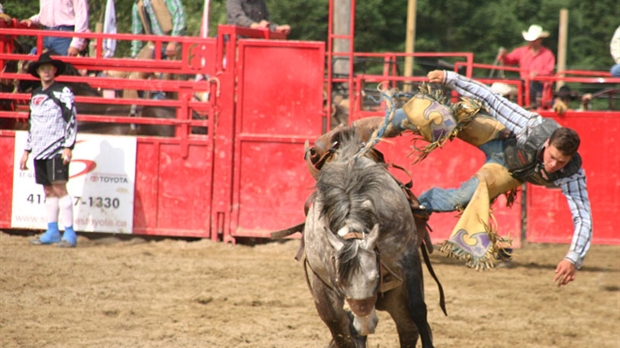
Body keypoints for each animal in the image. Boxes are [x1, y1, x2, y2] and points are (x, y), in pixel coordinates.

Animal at [302, 126, 438, 346]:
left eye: (375, 277)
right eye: (341, 283)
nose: (366, 325)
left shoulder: (409, 260)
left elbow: (419, 310)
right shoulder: (323, 280)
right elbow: (339, 328)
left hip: (397, 297)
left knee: (409, 328)